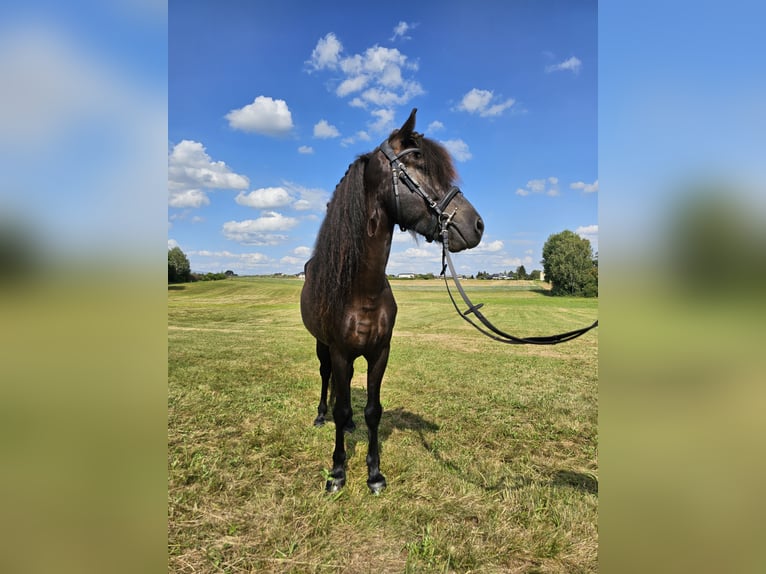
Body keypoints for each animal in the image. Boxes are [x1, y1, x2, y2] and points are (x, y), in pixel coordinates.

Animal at [302, 109, 486, 496]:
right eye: (419, 164)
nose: (477, 225)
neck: (361, 290)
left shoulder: (379, 352)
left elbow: (373, 410)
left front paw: (374, 474)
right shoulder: (339, 350)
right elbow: (341, 405)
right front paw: (337, 472)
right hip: (322, 344)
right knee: (327, 379)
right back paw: (321, 415)